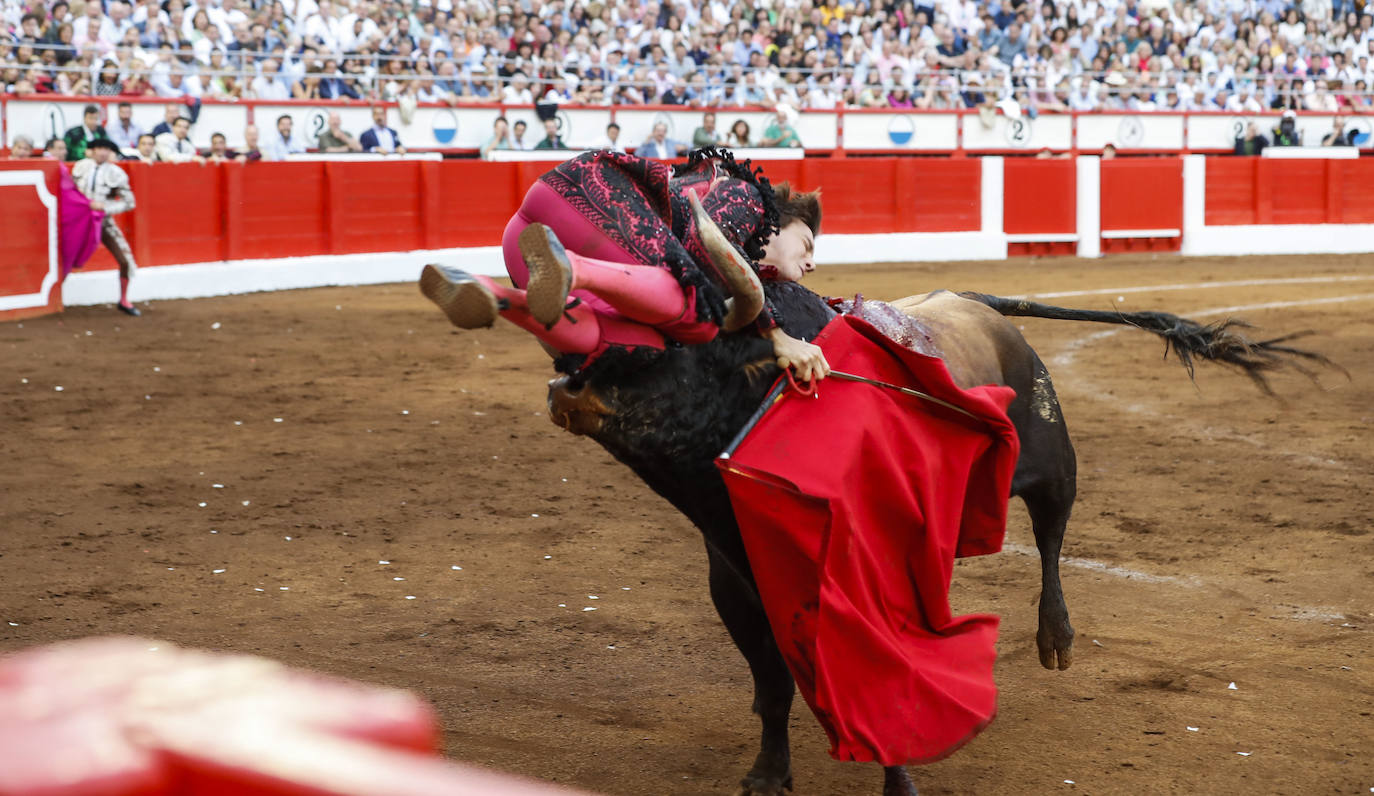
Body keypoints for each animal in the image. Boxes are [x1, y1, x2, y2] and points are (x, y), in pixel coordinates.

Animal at [527, 281, 1330, 796]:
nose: (566, 384)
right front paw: (766, 775)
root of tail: (981, 304)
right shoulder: (737, 585)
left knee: (1052, 536)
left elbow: (887, 683)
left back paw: (1056, 638)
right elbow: (774, 682)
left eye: (673, 351)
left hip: (1051, 456)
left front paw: (900, 780)